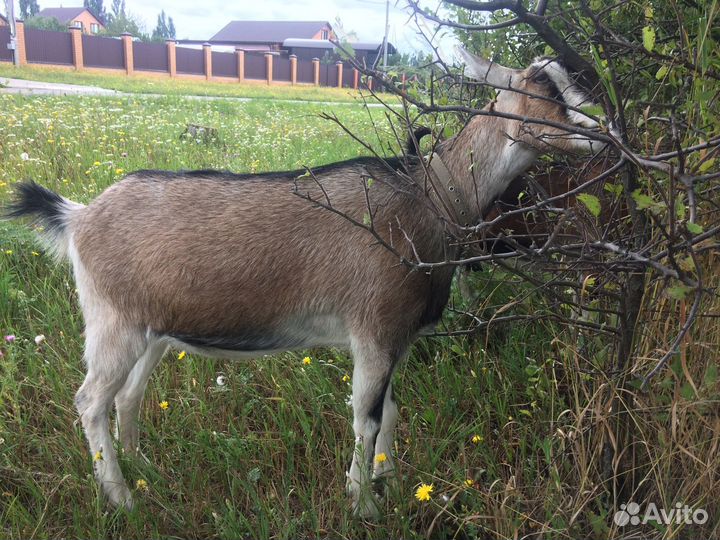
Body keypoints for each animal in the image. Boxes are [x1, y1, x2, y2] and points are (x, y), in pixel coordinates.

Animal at [7, 49, 607, 517]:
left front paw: (392, 485)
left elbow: (390, 412)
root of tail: (79, 216)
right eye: (542, 90)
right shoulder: (374, 328)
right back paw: (123, 498)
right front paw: (363, 506)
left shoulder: (396, 337)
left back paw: (146, 468)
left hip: (151, 328)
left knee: (128, 395)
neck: (430, 196)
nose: (603, 133)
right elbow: (365, 418)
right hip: (112, 322)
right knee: (90, 400)